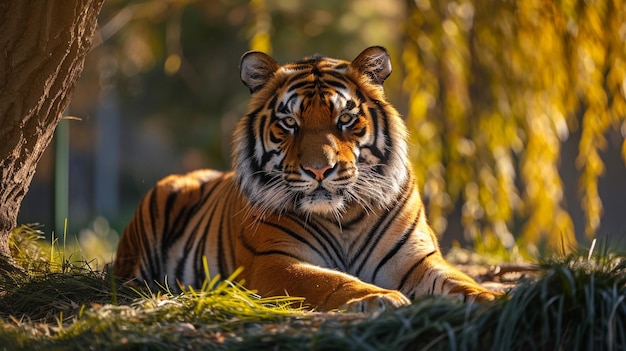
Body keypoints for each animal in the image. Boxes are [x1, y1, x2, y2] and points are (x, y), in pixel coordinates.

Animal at [113, 45, 502, 312]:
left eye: (345, 119)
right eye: (289, 122)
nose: (319, 170)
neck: (345, 217)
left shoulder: (416, 258)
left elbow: (459, 279)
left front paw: (491, 298)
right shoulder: (275, 261)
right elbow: (330, 281)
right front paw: (380, 297)